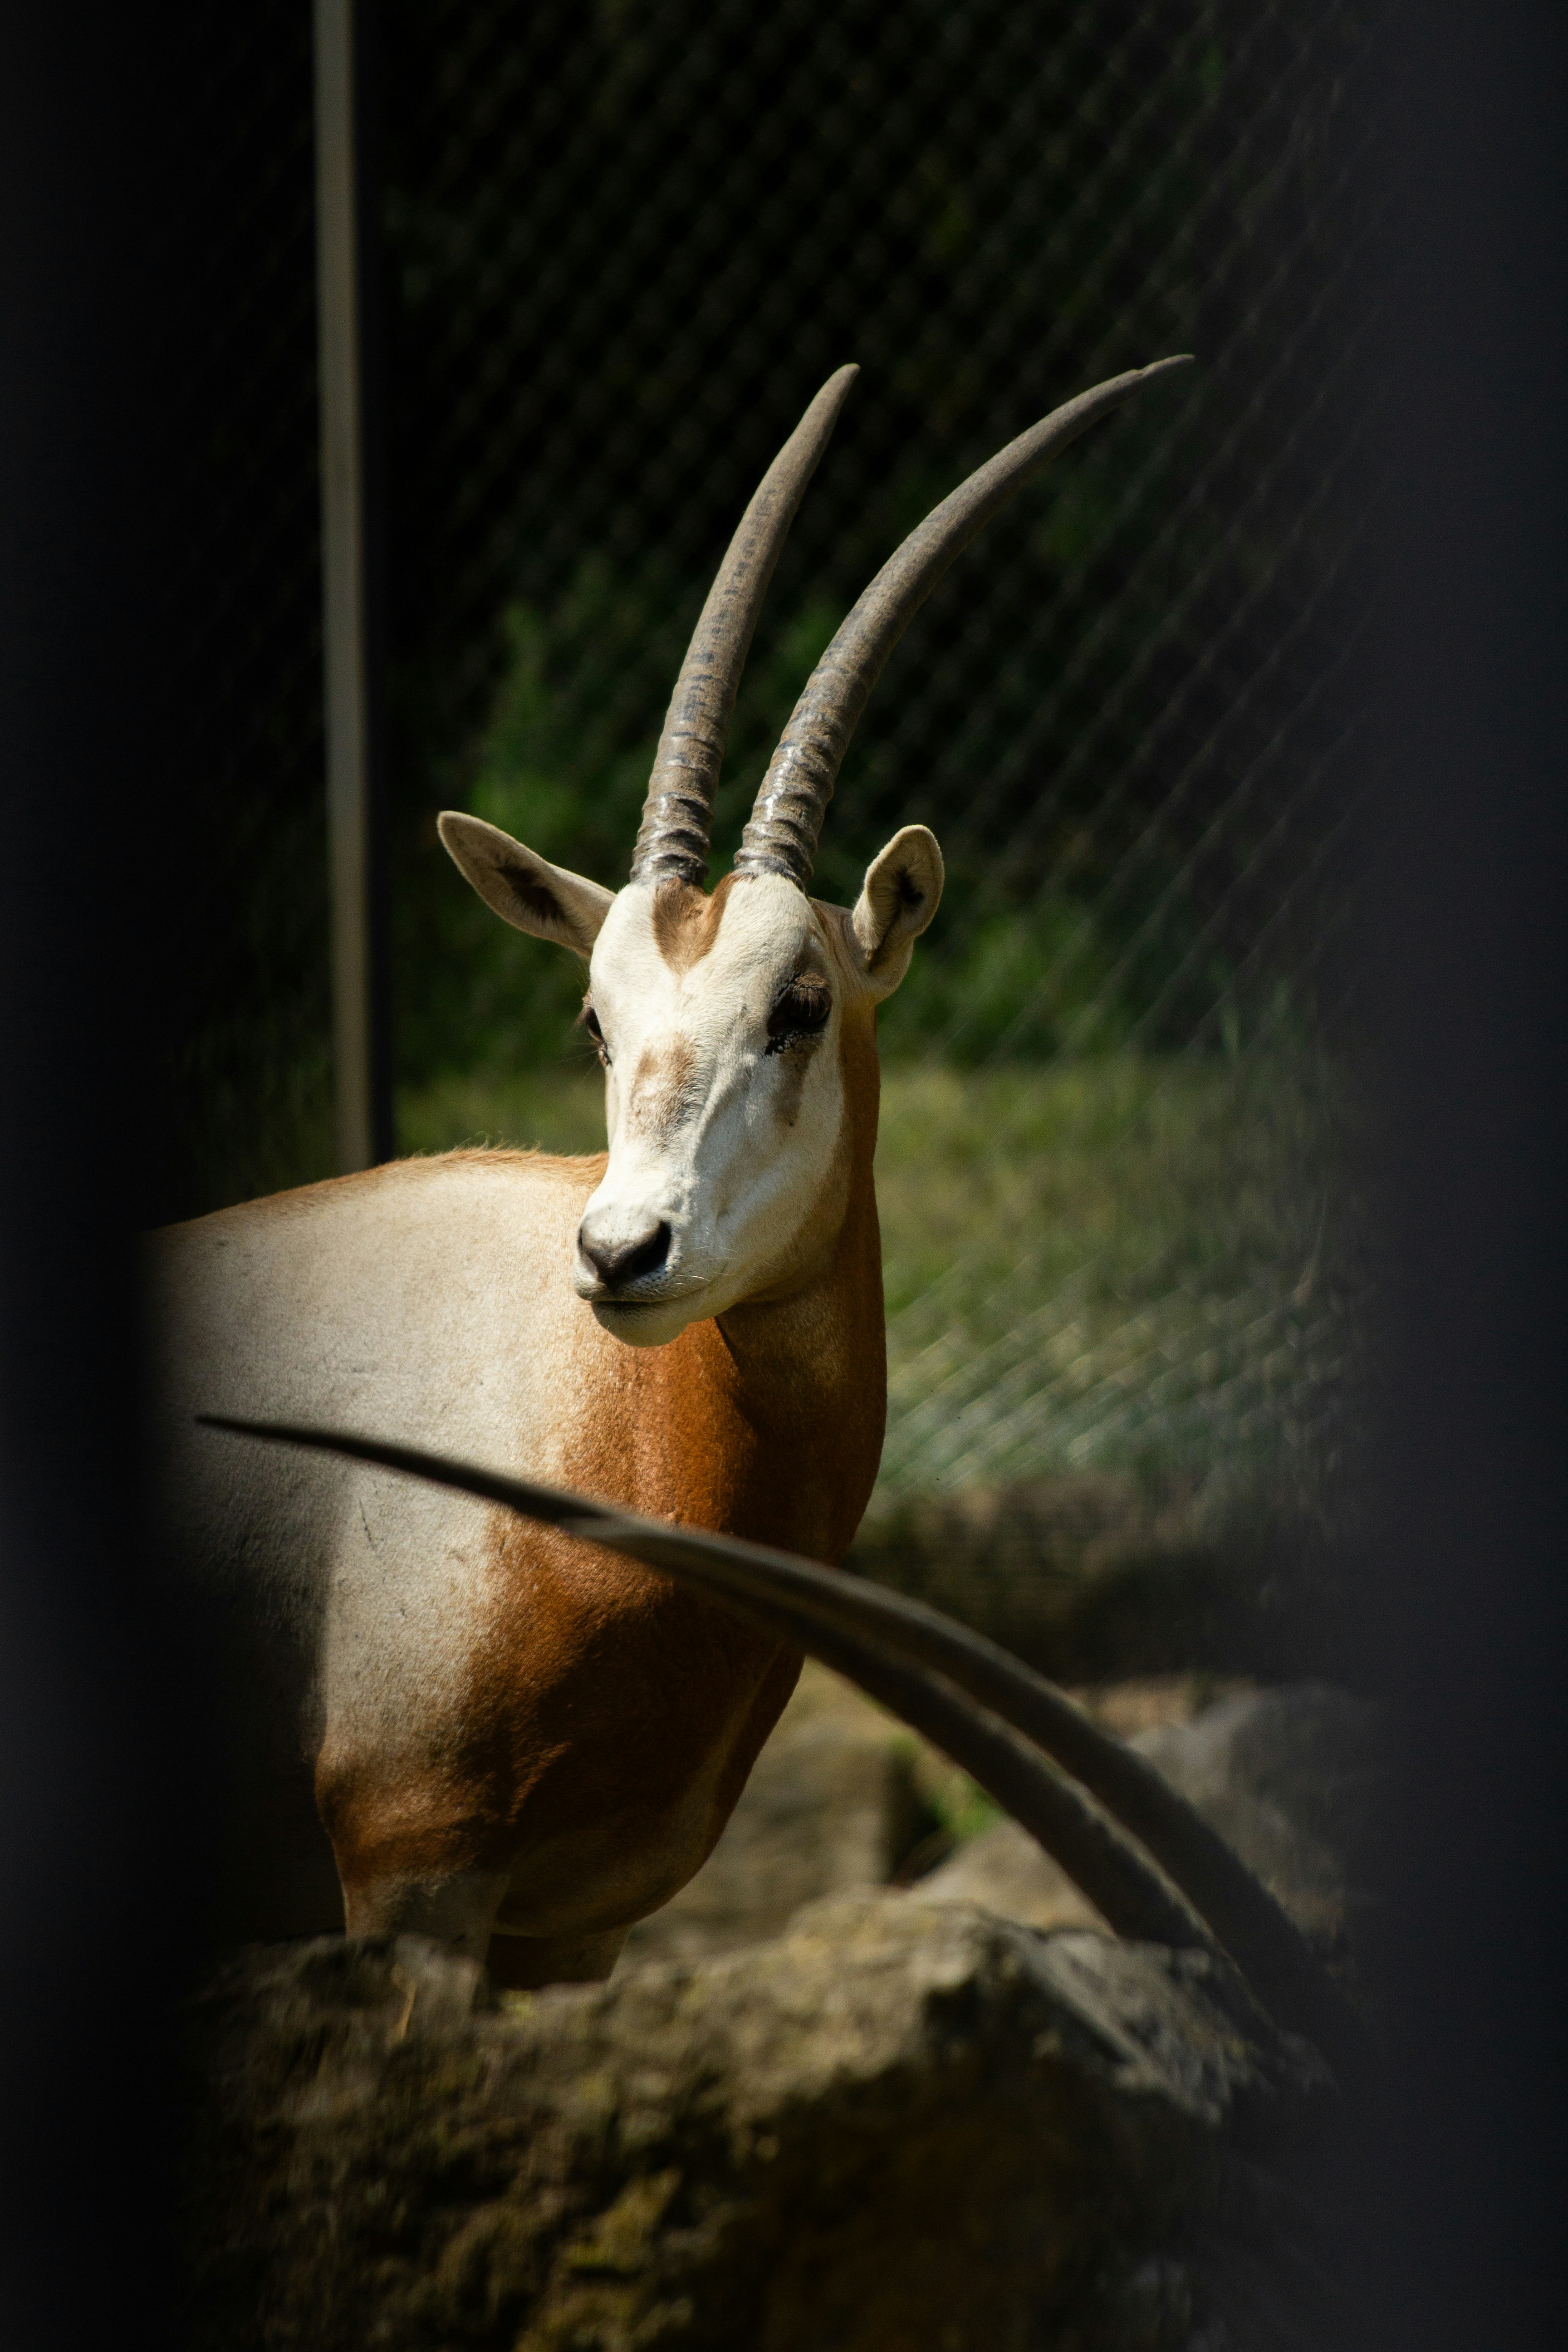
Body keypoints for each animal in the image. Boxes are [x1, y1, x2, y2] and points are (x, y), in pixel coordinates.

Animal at [151, 356, 1193, 1998]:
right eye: (597, 1018)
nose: (620, 1255)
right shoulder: (412, 1870)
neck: (599, 1429)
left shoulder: (576, 1928)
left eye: (802, 1004)